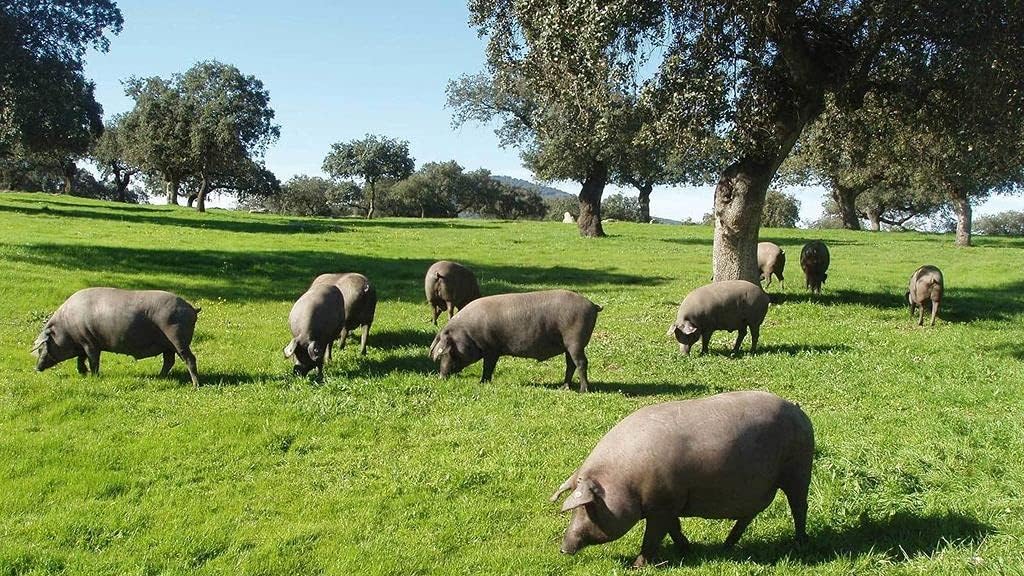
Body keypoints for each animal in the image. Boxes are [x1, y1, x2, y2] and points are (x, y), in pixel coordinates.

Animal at [31, 287, 200, 386]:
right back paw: (159, 378)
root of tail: (191, 308)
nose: (37, 368)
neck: (66, 329)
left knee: (190, 359)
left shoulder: (90, 342)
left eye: (41, 348)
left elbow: (92, 360)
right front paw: (82, 373)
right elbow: (80, 359)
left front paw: (94, 376)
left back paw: (195, 385)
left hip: (178, 338)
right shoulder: (82, 344)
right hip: (168, 345)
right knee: (169, 361)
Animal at [428, 290, 601, 392]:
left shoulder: (491, 349)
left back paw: (583, 390)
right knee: (570, 364)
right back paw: (564, 388)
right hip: (568, 346)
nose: (441, 377)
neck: (470, 333)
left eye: (448, 351)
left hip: (575, 341)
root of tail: (593, 305)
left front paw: (482, 383)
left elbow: (488, 367)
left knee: (581, 363)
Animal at [552, 390, 814, 567]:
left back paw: (801, 543)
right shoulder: (669, 504)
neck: (624, 482)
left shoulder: (662, 505)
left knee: (799, 507)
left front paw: (637, 566)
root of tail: (797, 409)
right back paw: (727, 545)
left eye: (588, 507)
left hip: (799, 469)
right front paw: (687, 551)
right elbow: (674, 528)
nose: (563, 549)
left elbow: (654, 536)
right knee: (749, 515)